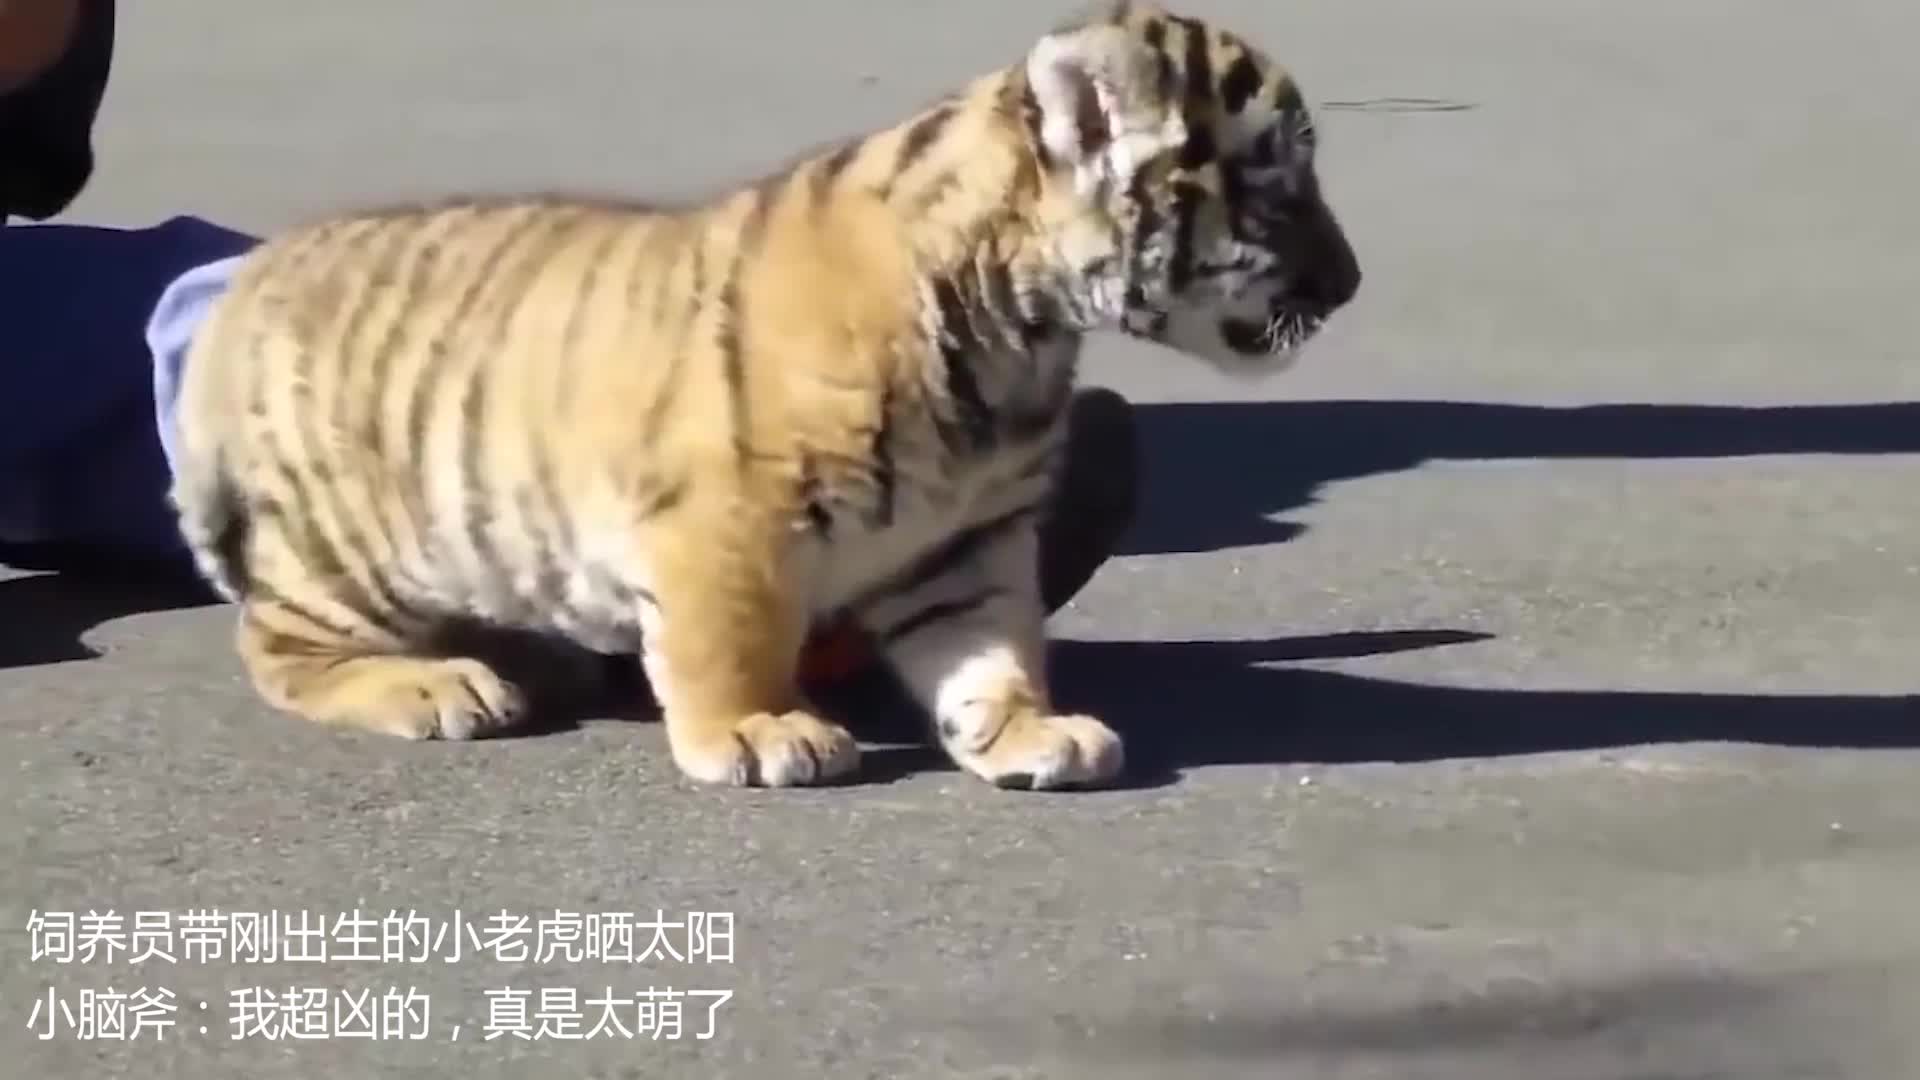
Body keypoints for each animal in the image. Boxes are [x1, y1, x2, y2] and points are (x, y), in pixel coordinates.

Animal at [166, 0, 1362, 791]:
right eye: (1274, 180)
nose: (1351, 284)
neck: (1020, 330)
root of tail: (248, 278)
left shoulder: (966, 539)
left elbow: (995, 645)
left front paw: (1025, 732)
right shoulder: (727, 520)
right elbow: (729, 639)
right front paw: (756, 732)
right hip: (355, 552)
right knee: (275, 648)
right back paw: (436, 688)